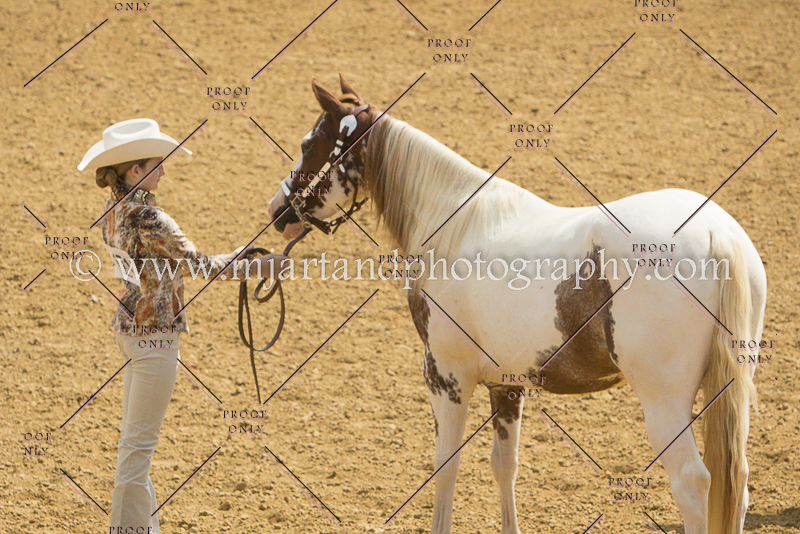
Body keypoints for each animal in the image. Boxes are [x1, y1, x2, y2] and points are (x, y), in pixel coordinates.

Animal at [266, 74, 765, 534]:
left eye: (310, 143)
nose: (277, 212)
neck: (455, 223)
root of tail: (717, 236)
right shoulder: (505, 383)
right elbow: (504, 465)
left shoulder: (445, 374)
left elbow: (445, 467)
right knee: (735, 482)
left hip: (664, 403)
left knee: (692, 484)